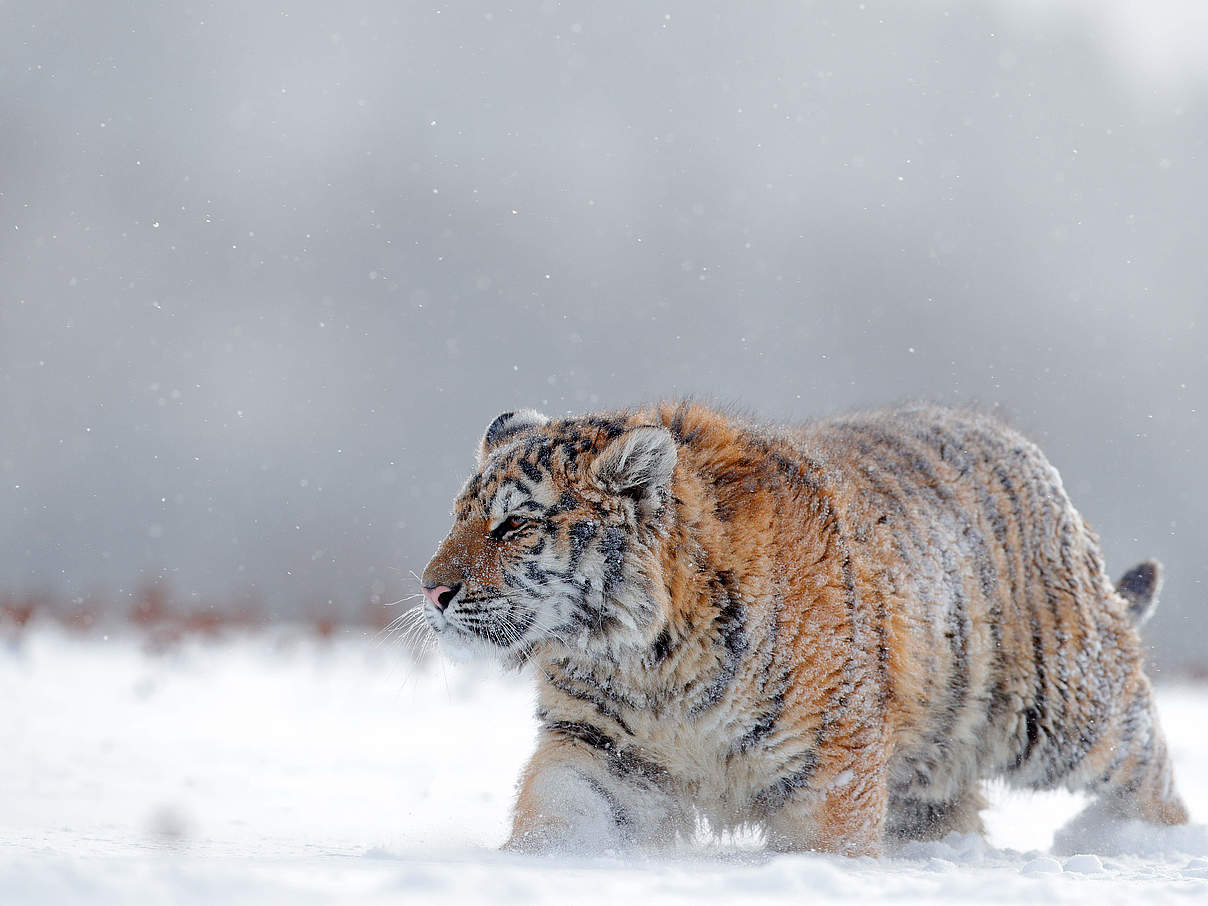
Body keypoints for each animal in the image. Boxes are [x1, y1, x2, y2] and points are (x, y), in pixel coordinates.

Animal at [420, 403, 1183, 860]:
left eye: (513, 524)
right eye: (458, 515)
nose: (431, 590)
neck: (644, 662)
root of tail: (1026, 449)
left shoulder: (831, 762)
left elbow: (827, 846)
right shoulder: (599, 747)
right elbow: (558, 815)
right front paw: (530, 867)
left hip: (1063, 709)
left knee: (1144, 751)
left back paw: (1139, 843)